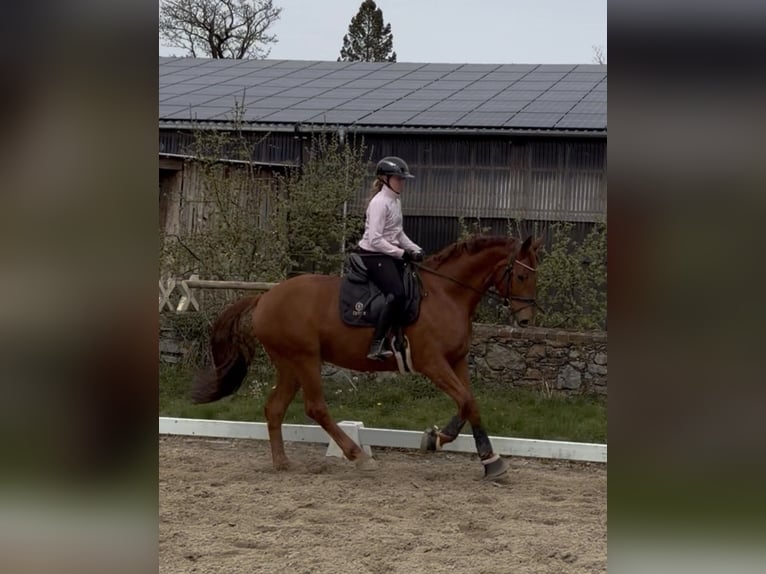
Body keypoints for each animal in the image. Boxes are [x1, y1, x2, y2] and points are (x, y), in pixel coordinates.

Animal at [191, 235, 543, 479]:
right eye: (522, 276)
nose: (526, 320)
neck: (447, 294)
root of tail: (265, 297)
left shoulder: (456, 361)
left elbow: (471, 404)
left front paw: (486, 460)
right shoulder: (432, 363)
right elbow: (467, 402)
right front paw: (438, 440)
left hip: (290, 364)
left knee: (274, 408)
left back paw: (282, 463)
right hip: (305, 359)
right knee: (315, 407)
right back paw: (358, 456)